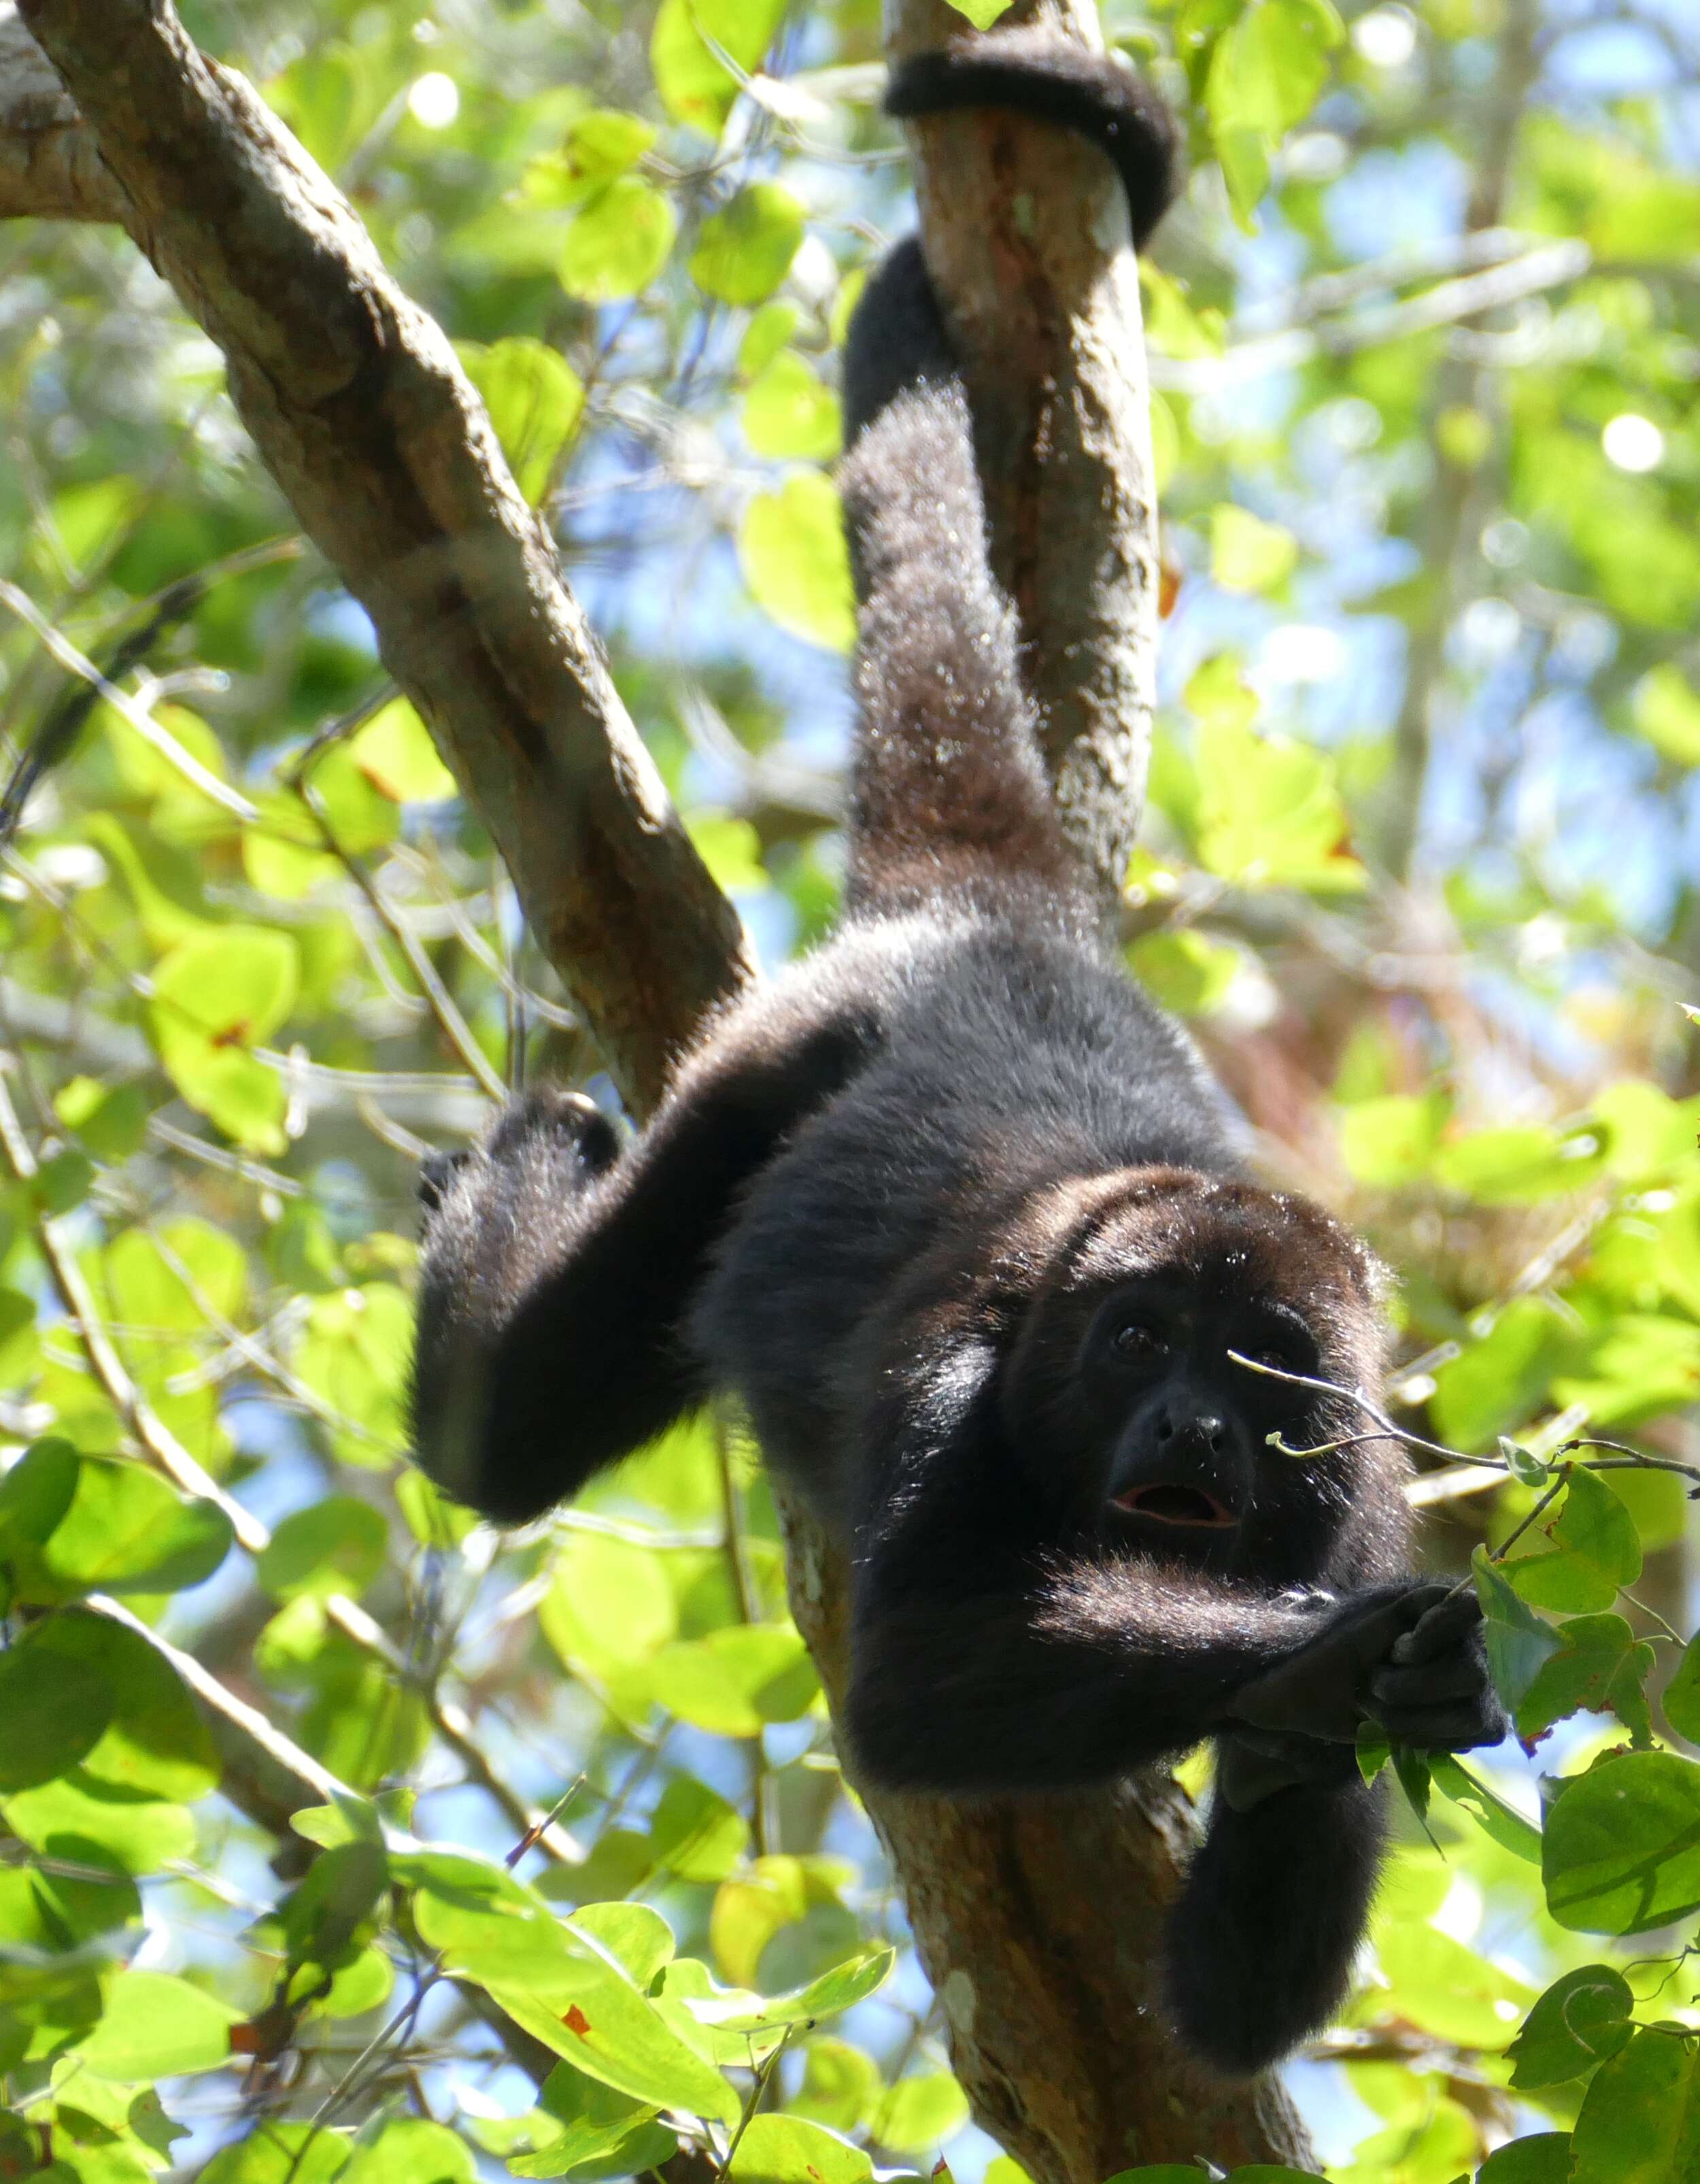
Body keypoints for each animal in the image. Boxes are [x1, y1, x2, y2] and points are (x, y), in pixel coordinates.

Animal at [412, 38, 1501, 2079]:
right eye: (1139, 1341)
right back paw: (525, 1164)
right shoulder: (960, 1356)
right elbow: (917, 1677)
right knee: (503, 1435)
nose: (1189, 1427)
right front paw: (1331, 1655)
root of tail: (1002, 920)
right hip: (775, 1054)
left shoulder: (1362, 1475)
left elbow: (1238, 2009)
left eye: (1261, 1370)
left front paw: (1336, 1706)